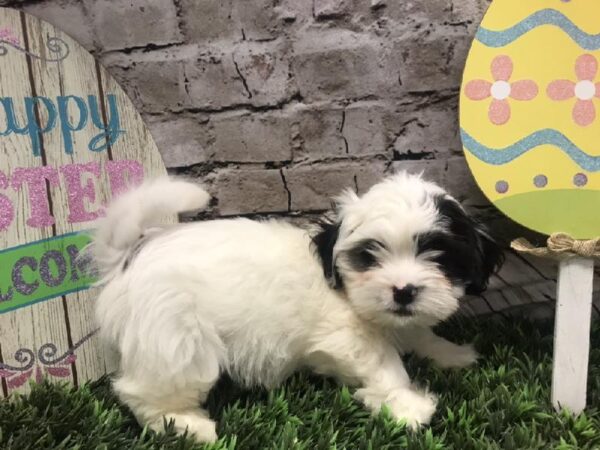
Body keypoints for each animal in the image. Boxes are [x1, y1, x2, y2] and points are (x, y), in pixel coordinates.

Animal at [91, 172, 504, 442]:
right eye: (369, 256)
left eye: (439, 255)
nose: (403, 291)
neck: (342, 286)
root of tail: (128, 260)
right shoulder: (348, 337)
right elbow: (384, 364)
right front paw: (407, 405)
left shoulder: (400, 319)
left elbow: (418, 333)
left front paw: (449, 353)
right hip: (175, 335)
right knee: (146, 390)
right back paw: (186, 425)